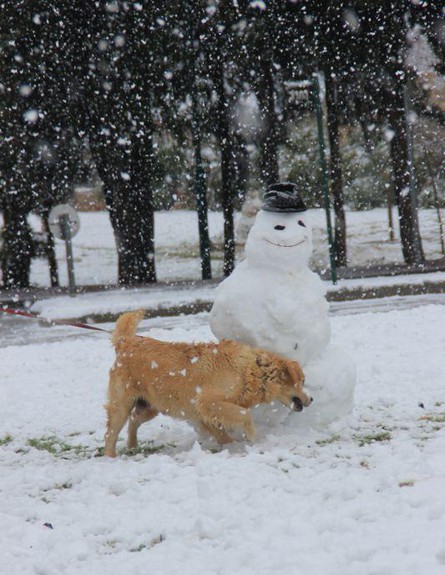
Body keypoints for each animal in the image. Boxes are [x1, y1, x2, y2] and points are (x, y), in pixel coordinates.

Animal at [104, 312, 312, 456]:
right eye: (302, 381)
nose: (311, 399)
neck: (250, 371)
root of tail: (126, 342)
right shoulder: (207, 402)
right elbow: (244, 414)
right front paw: (252, 438)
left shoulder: (203, 414)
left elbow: (223, 434)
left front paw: (234, 446)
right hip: (121, 405)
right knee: (110, 434)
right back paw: (111, 458)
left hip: (152, 406)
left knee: (134, 419)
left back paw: (132, 446)